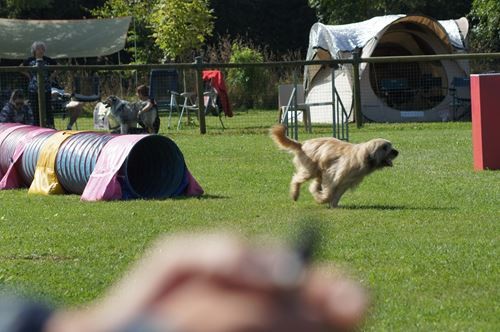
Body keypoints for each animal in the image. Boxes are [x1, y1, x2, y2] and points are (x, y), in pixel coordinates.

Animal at [270, 124, 398, 208]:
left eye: (390, 146)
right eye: (385, 147)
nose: (397, 152)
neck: (362, 156)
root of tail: (302, 144)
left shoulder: (346, 181)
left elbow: (337, 193)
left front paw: (332, 204)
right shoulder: (333, 174)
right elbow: (329, 191)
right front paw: (323, 200)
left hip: (319, 171)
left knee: (313, 185)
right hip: (310, 169)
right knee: (296, 179)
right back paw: (295, 194)